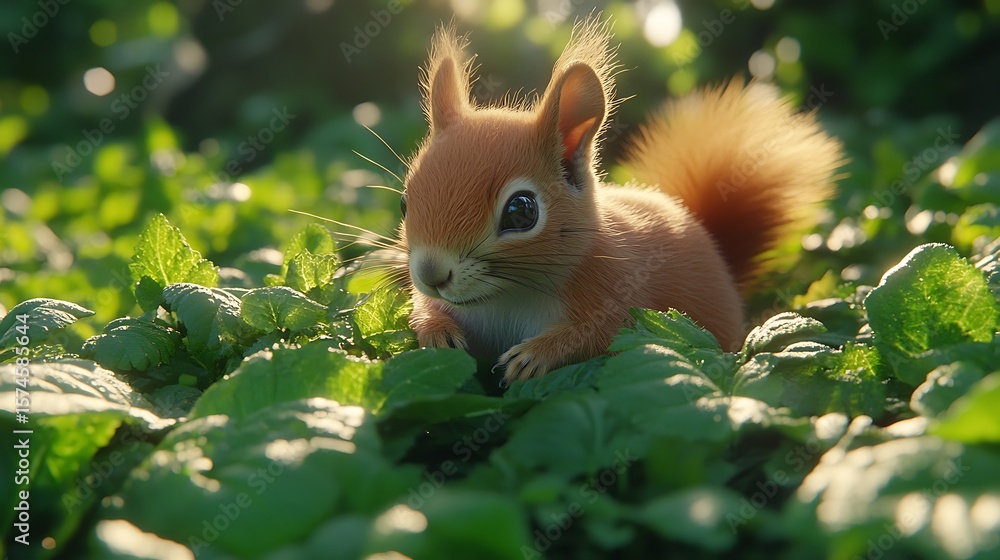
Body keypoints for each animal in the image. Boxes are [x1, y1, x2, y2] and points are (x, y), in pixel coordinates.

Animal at [396, 19, 843, 385]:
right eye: (404, 201)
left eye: (522, 211)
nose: (431, 274)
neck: (506, 296)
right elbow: (425, 308)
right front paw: (436, 331)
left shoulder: (622, 298)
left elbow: (600, 335)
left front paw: (535, 355)